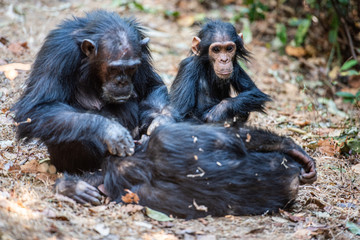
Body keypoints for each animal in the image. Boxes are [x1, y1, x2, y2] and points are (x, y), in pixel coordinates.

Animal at [11, 10, 169, 172]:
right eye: (114, 69)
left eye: (131, 68)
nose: (122, 82)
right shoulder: (58, 53)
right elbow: (36, 108)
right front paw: (109, 130)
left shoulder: (142, 52)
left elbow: (152, 86)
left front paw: (160, 121)